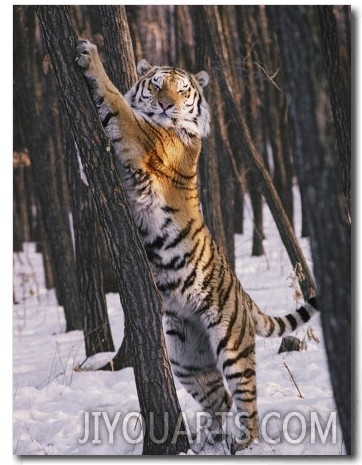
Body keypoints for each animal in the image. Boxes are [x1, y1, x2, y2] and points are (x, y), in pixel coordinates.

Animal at [76, 38, 316, 452]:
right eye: (156, 85)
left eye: (182, 91)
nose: (165, 105)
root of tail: (245, 298)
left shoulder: (143, 137)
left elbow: (115, 100)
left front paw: (89, 55)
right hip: (185, 359)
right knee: (219, 399)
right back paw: (208, 442)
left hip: (232, 348)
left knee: (246, 400)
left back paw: (246, 444)